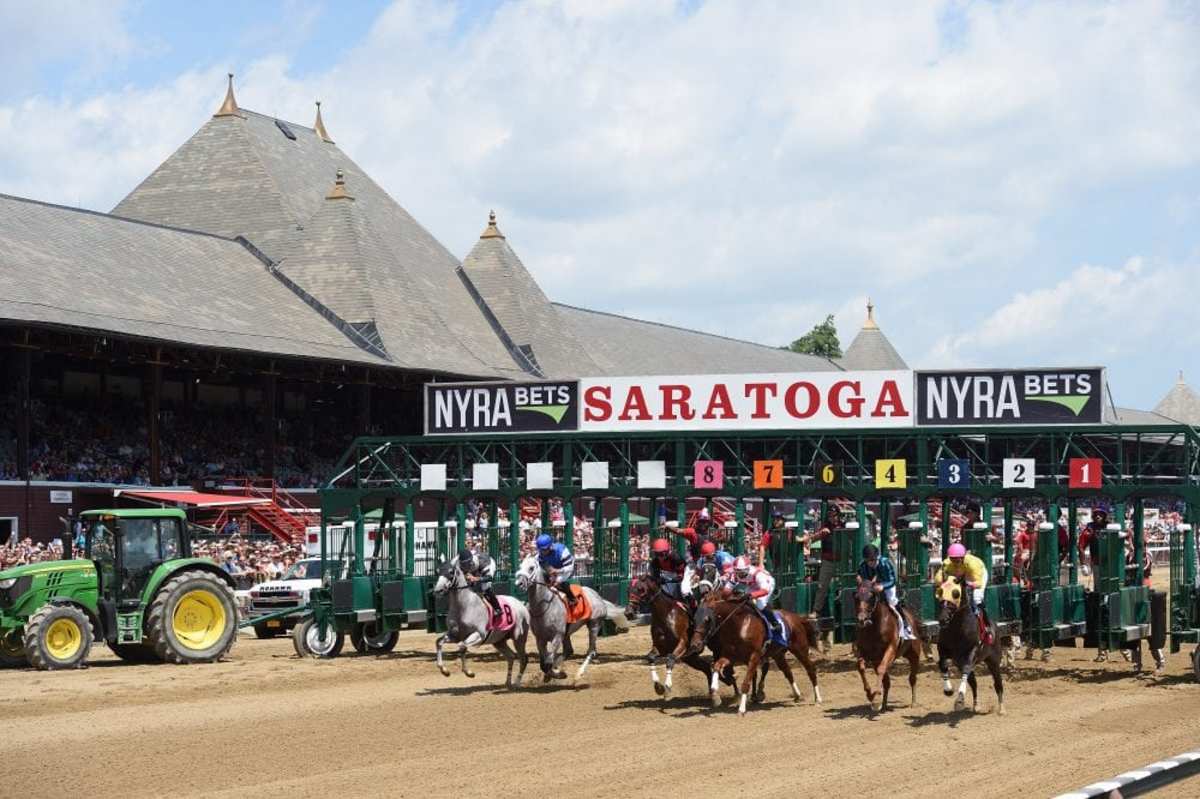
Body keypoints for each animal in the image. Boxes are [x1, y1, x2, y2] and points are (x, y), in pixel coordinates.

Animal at [429, 556, 528, 686]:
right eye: (437, 571)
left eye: (450, 572)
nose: (438, 590)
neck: (464, 606)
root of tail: (521, 604)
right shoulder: (455, 635)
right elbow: (439, 642)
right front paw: (444, 670)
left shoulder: (480, 635)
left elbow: (462, 646)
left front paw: (469, 672)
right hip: (499, 641)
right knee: (511, 656)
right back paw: (508, 682)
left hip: (519, 638)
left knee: (523, 659)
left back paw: (517, 683)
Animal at [691, 590, 820, 715]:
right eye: (694, 619)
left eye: (707, 619)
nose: (695, 644)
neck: (740, 625)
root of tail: (797, 618)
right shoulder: (730, 655)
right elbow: (717, 666)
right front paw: (714, 693)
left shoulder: (754, 656)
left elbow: (746, 682)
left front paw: (742, 709)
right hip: (778, 654)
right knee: (788, 672)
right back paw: (797, 695)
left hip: (800, 649)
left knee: (810, 669)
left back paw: (818, 698)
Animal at [849, 578, 921, 710]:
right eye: (856, 597)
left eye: (871, 597)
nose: (862, 619)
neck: (873, 628)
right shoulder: (866, 653)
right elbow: (861, 667)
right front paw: (870, 695)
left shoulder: (890, 649)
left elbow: (882, 669)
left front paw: (876, 697)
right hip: (877, 660)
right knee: (887, 682)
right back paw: (884, 704)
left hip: (914, 654)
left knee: (912, 678)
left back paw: (913, 702)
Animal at [931, 575, 1008, 710]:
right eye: (940, 592)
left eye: (955, 594)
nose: (942, 619)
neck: (957, 628)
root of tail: (995, 626)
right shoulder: (943, 649)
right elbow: (943, 664)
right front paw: (948, 690)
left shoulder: (971, 651)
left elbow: (966, 668)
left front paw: (960, 698)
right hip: (961, 662)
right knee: (974, 683)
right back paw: (976, 705)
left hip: (993, 660)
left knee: (998, 683)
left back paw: (1001, 708)